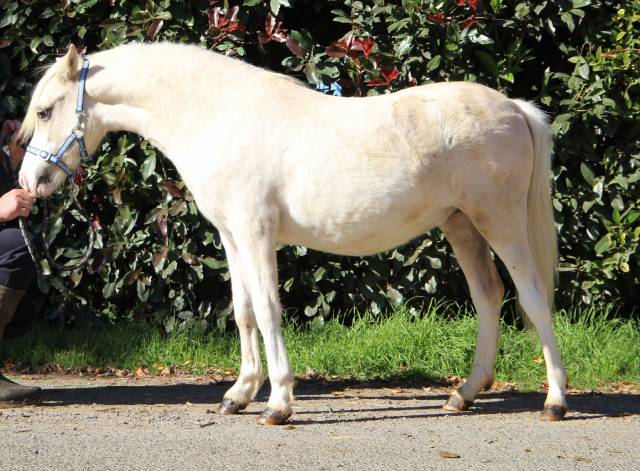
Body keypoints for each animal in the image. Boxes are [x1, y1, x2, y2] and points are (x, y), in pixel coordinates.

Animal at [18, 42, 567, 424]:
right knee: (488, 295)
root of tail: (515, 108)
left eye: (45, 111)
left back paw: (555, 401)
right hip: (461, 225)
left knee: (532, 296)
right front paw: (238, 394)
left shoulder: (256, 233)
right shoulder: (232, 237)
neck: (217, 116)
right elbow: (242, 312)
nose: (28, 182)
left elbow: (267, 310)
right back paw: (463, 395)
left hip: (500, 222)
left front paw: (278, 403)